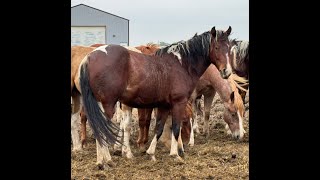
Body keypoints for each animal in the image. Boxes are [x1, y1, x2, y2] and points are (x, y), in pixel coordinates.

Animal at [77, 26, 232, 163]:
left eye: (229, 47)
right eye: (216, 47)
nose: (226, 71)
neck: (181, 64)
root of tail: (89, 57)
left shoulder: (164, 105)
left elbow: (159, 128)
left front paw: (151, 153)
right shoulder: (178, 103)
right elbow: (175, 128)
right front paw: (175, 155)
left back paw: (100, 161)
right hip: (108, 104)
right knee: (102, 130)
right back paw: (107, 161)